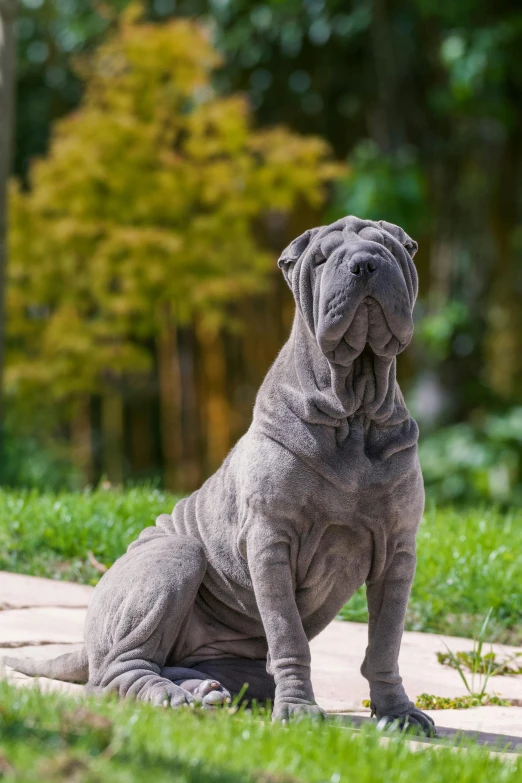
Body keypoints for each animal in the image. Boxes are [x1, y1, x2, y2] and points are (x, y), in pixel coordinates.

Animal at [6, 214, 432, 736]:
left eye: (389, 248)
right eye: (322, 259)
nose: (365, 264)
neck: (354, 412)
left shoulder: (398, 550)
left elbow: (386, 641)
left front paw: (398, 712)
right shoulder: (271, 540)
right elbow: (289, 635)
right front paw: (299, 711)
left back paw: (204, 691)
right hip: (175, 556)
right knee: (116, 674)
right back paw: (172, 697)